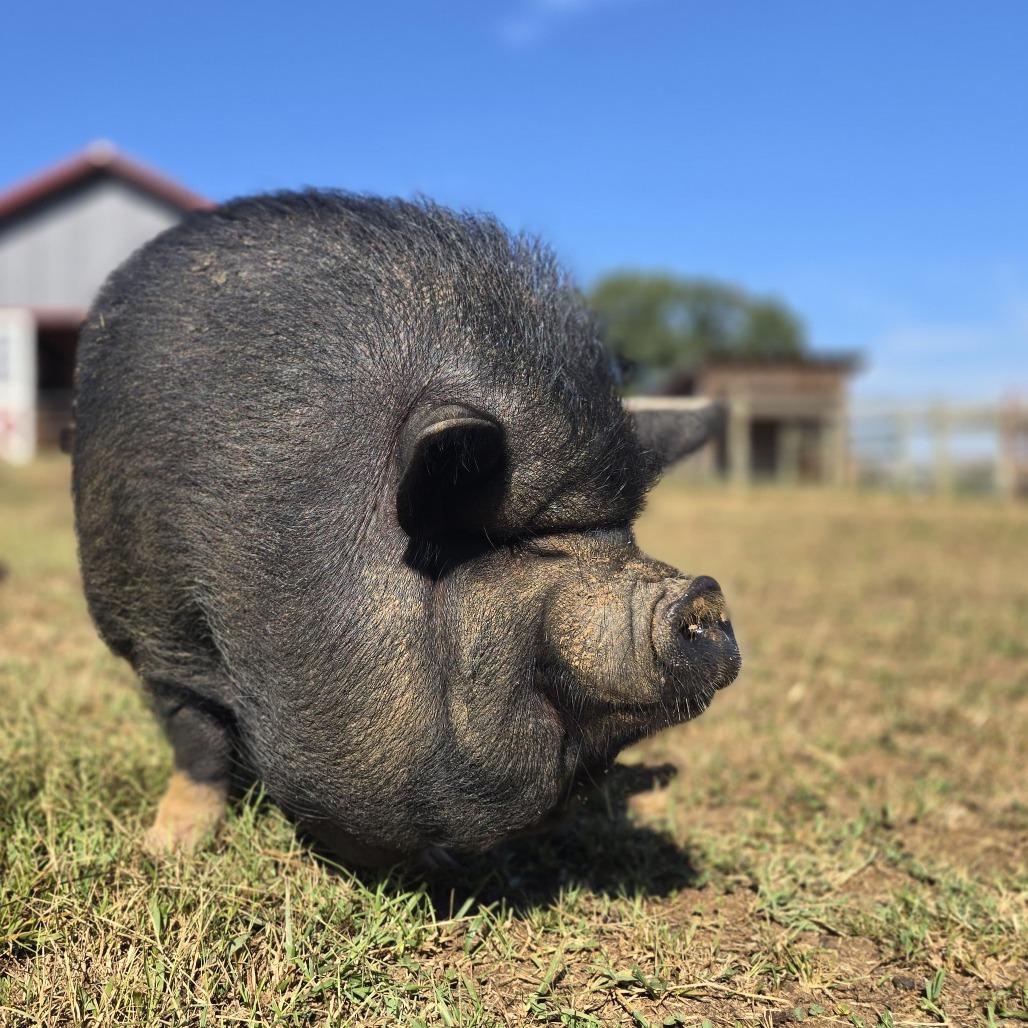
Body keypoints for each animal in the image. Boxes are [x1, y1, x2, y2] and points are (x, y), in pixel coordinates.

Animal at [71, 192, 741, 864]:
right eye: (523, 548)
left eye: (626, 536)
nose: (701, 590)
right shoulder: (158, 627)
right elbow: (195, 740)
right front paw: (166, 848)